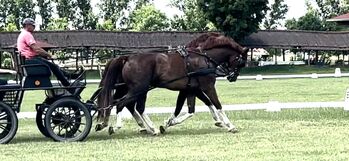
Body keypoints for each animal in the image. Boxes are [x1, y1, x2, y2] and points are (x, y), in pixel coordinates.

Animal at [96, 33, 246, 135]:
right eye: (241, 61)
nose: (233, 77)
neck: (204, 58)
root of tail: (127, 57)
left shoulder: (190, 89)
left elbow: (189, 109)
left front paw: (168, 123)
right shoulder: (207, 87)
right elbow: (217, 104)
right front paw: (230, 125)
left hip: (134, 89)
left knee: (127, 105)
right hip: (139, 89)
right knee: (124, 104)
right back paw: (119, 127)